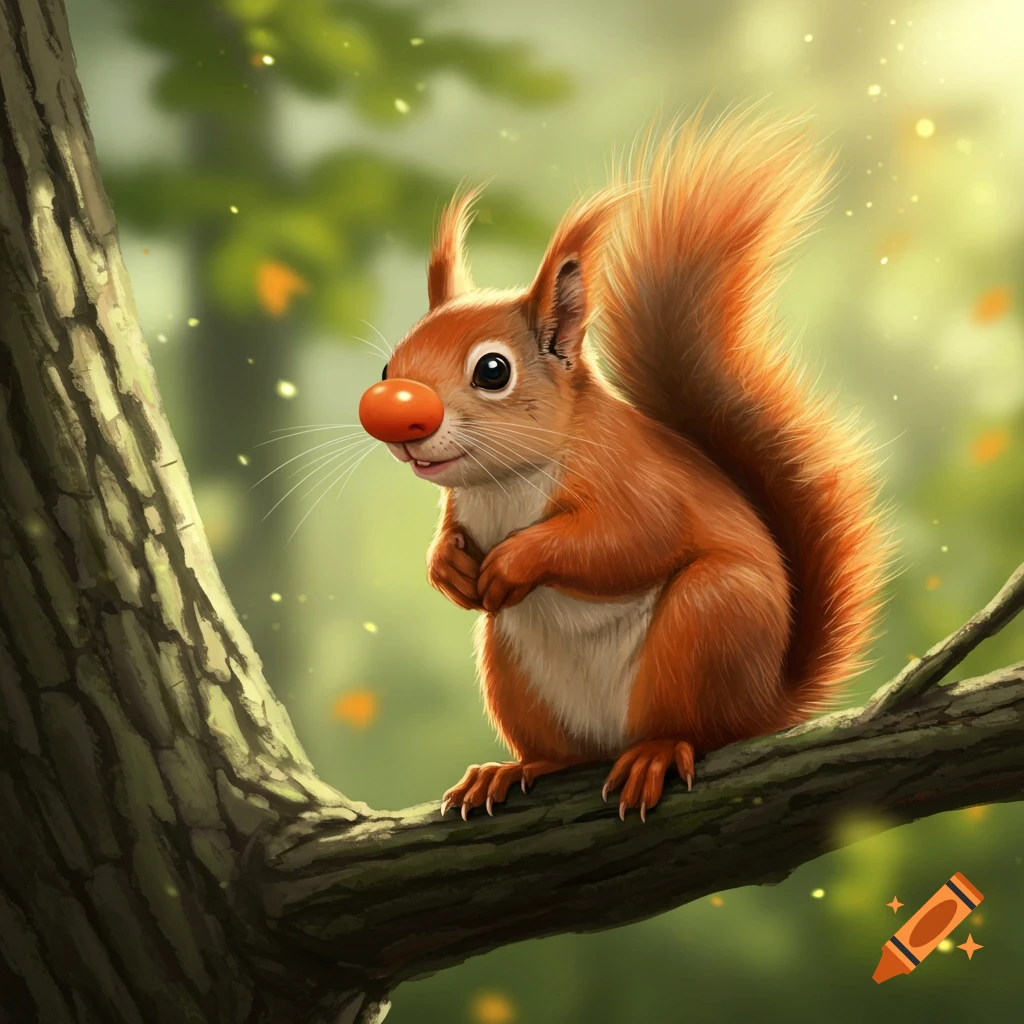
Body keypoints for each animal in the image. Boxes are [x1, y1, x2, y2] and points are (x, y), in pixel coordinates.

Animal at [358, 110, 889, 822]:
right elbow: (448, 538)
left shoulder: (638, 482)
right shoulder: (458, 504)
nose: (397, 421)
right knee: (562, 752)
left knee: (698, 728)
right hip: (511, 664)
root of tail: (767, 704)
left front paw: (514, 561)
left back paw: (656, 753)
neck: (505, 483)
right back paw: (512, 769)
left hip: (709, 618)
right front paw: (449, 569)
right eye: (390, 365)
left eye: (493, 370)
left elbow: (630, 540)